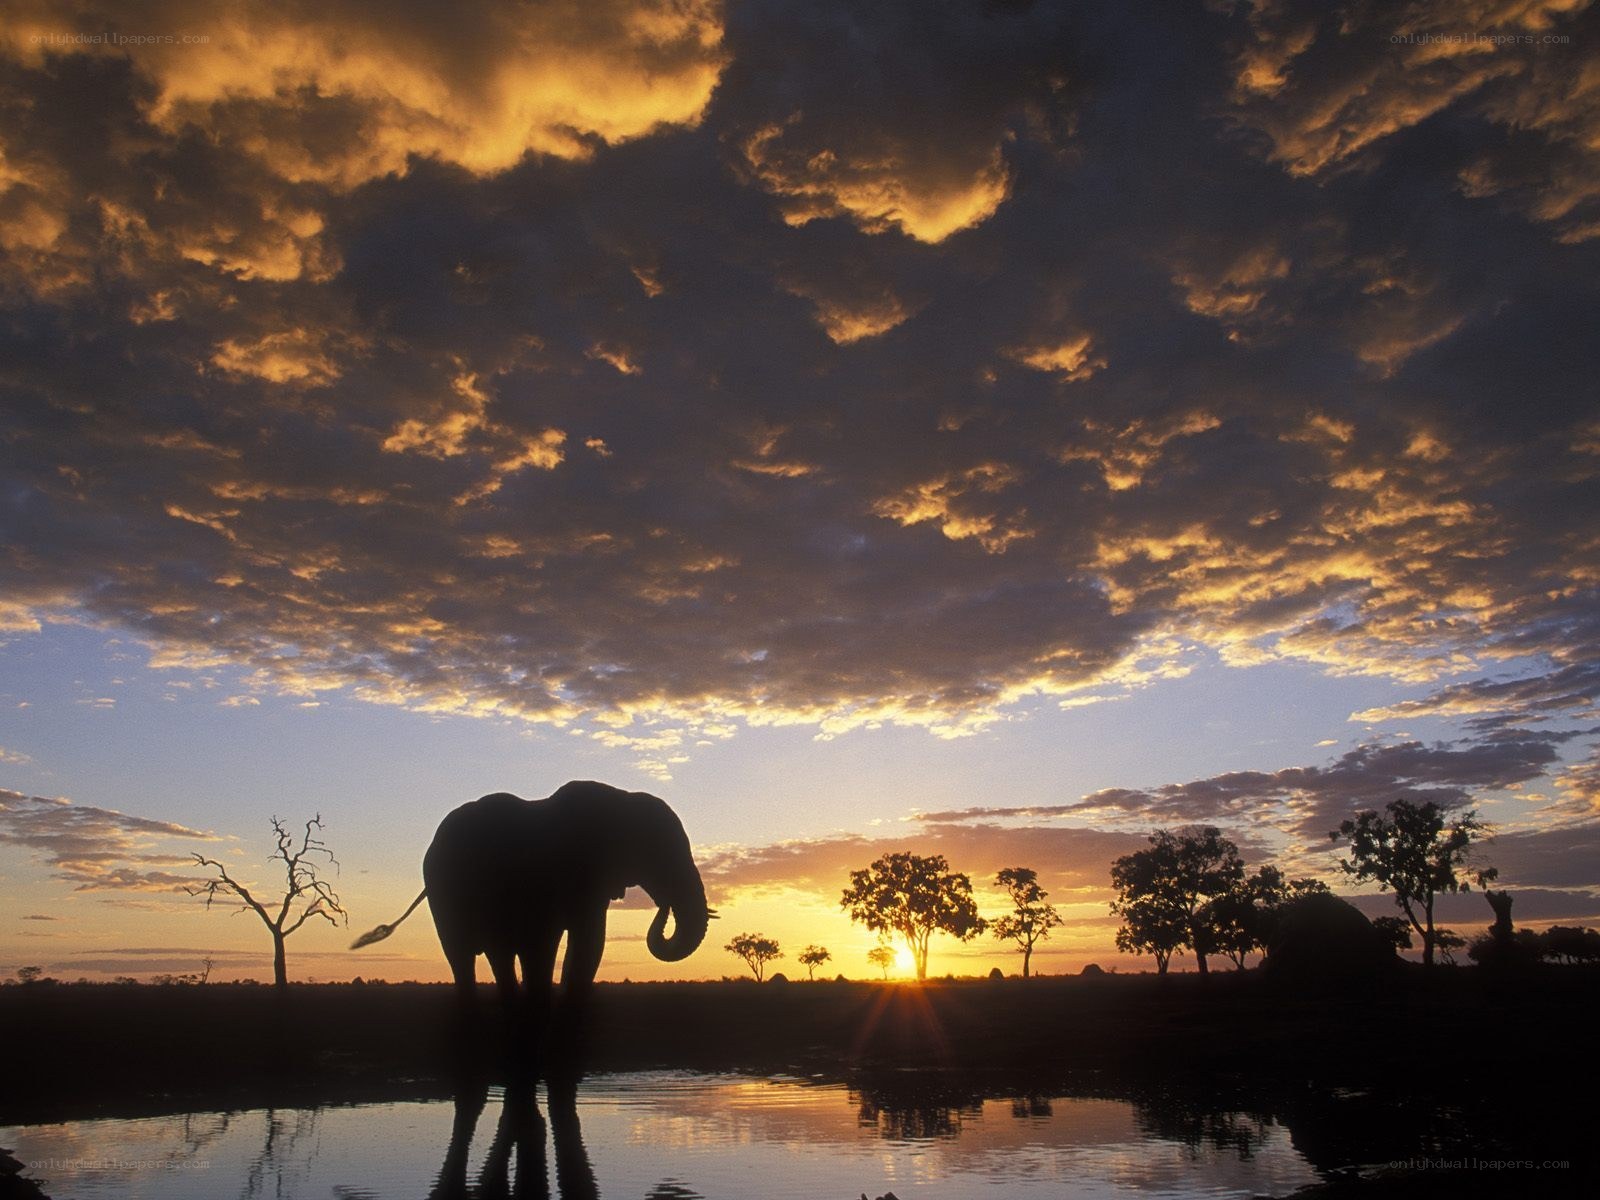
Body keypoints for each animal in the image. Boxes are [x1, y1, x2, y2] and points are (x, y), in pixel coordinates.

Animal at [353, 780, 712, 1079]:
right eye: (659, 853)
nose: (664, 906)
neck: (619, 800)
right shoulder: (549, 877)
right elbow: (544, 947)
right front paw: (542, 1063)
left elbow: (588, 947)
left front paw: (560, 1064)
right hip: (446, 899)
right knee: (464, 959)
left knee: (498, 958)